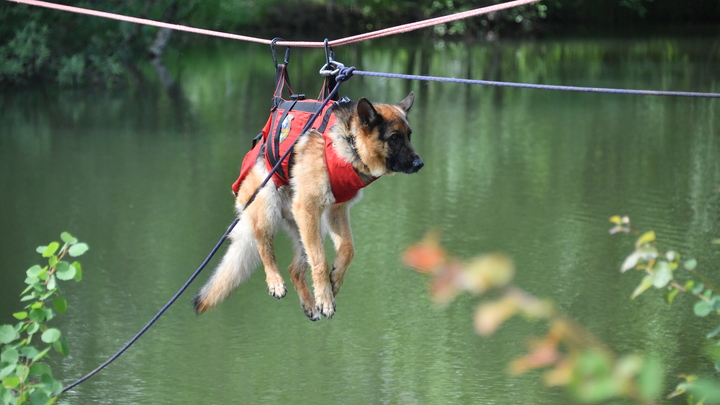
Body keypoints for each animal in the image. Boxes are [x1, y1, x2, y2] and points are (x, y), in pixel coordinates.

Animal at [194, 90, 424, 318]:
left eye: (409, 136)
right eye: (394, 138)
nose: (420, 164)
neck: (349, 141)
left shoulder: (336, 211)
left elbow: (348, 248)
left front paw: (336, 278)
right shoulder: (309, 208)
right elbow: (321, 261)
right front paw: (326, 299)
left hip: (312, 227)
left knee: (295, 269)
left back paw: (309, 304)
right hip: (270, 208)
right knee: (264, 246)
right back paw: (276, 282)